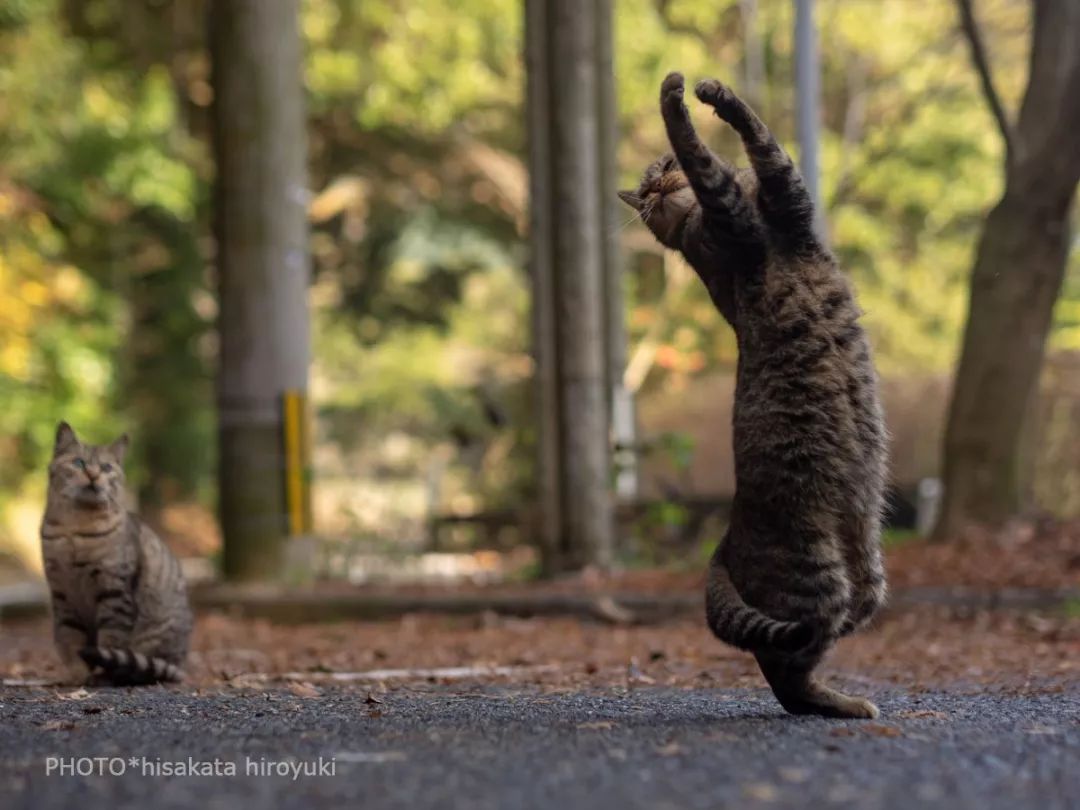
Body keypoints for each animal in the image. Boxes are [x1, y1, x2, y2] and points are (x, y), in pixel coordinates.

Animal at [39, 425, 192, 686]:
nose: (93, 475)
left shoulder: (114, 592)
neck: (75, 529)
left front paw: (101, 674)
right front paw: (78, 675)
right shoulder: (62, 593)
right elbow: (71, 640)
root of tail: (180, 665)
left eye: (106, 468)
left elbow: (110, 641)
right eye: (79, 463)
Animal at [622, 74, 889, 721]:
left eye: (657, 171)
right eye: (643, 190)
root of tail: (721, 544)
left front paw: (709, 98)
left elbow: (747, 146)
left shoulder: (786, 204)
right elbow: (715, 149)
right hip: (818, 576)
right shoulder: (742, 212)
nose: (656, 186)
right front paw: (684, 94)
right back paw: (842, 703)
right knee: (784, 670)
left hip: (866, 583)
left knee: (796, 659)